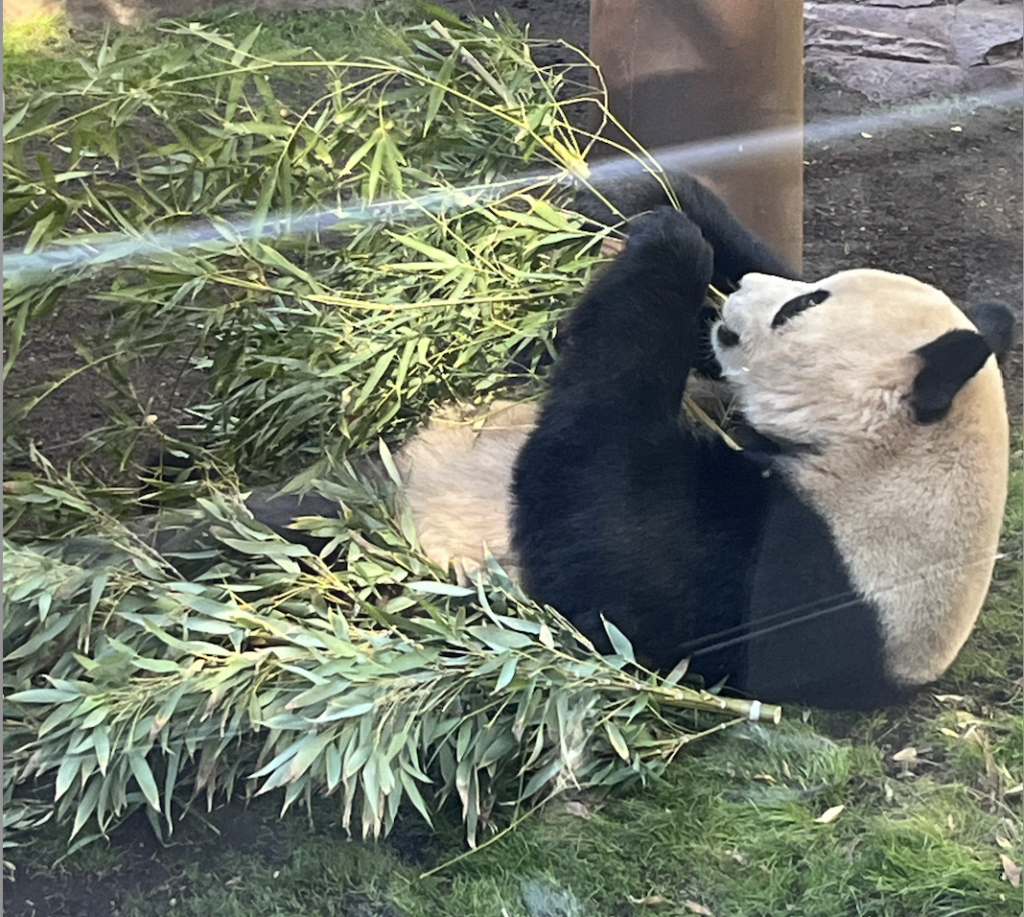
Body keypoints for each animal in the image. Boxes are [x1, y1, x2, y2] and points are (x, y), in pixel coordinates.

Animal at [243, 176, 1011, 712]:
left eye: (800, 307)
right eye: (812, 285)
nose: (742, 293)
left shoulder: (788, 573)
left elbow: (594, 523)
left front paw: (670, 244)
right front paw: (637, 203)